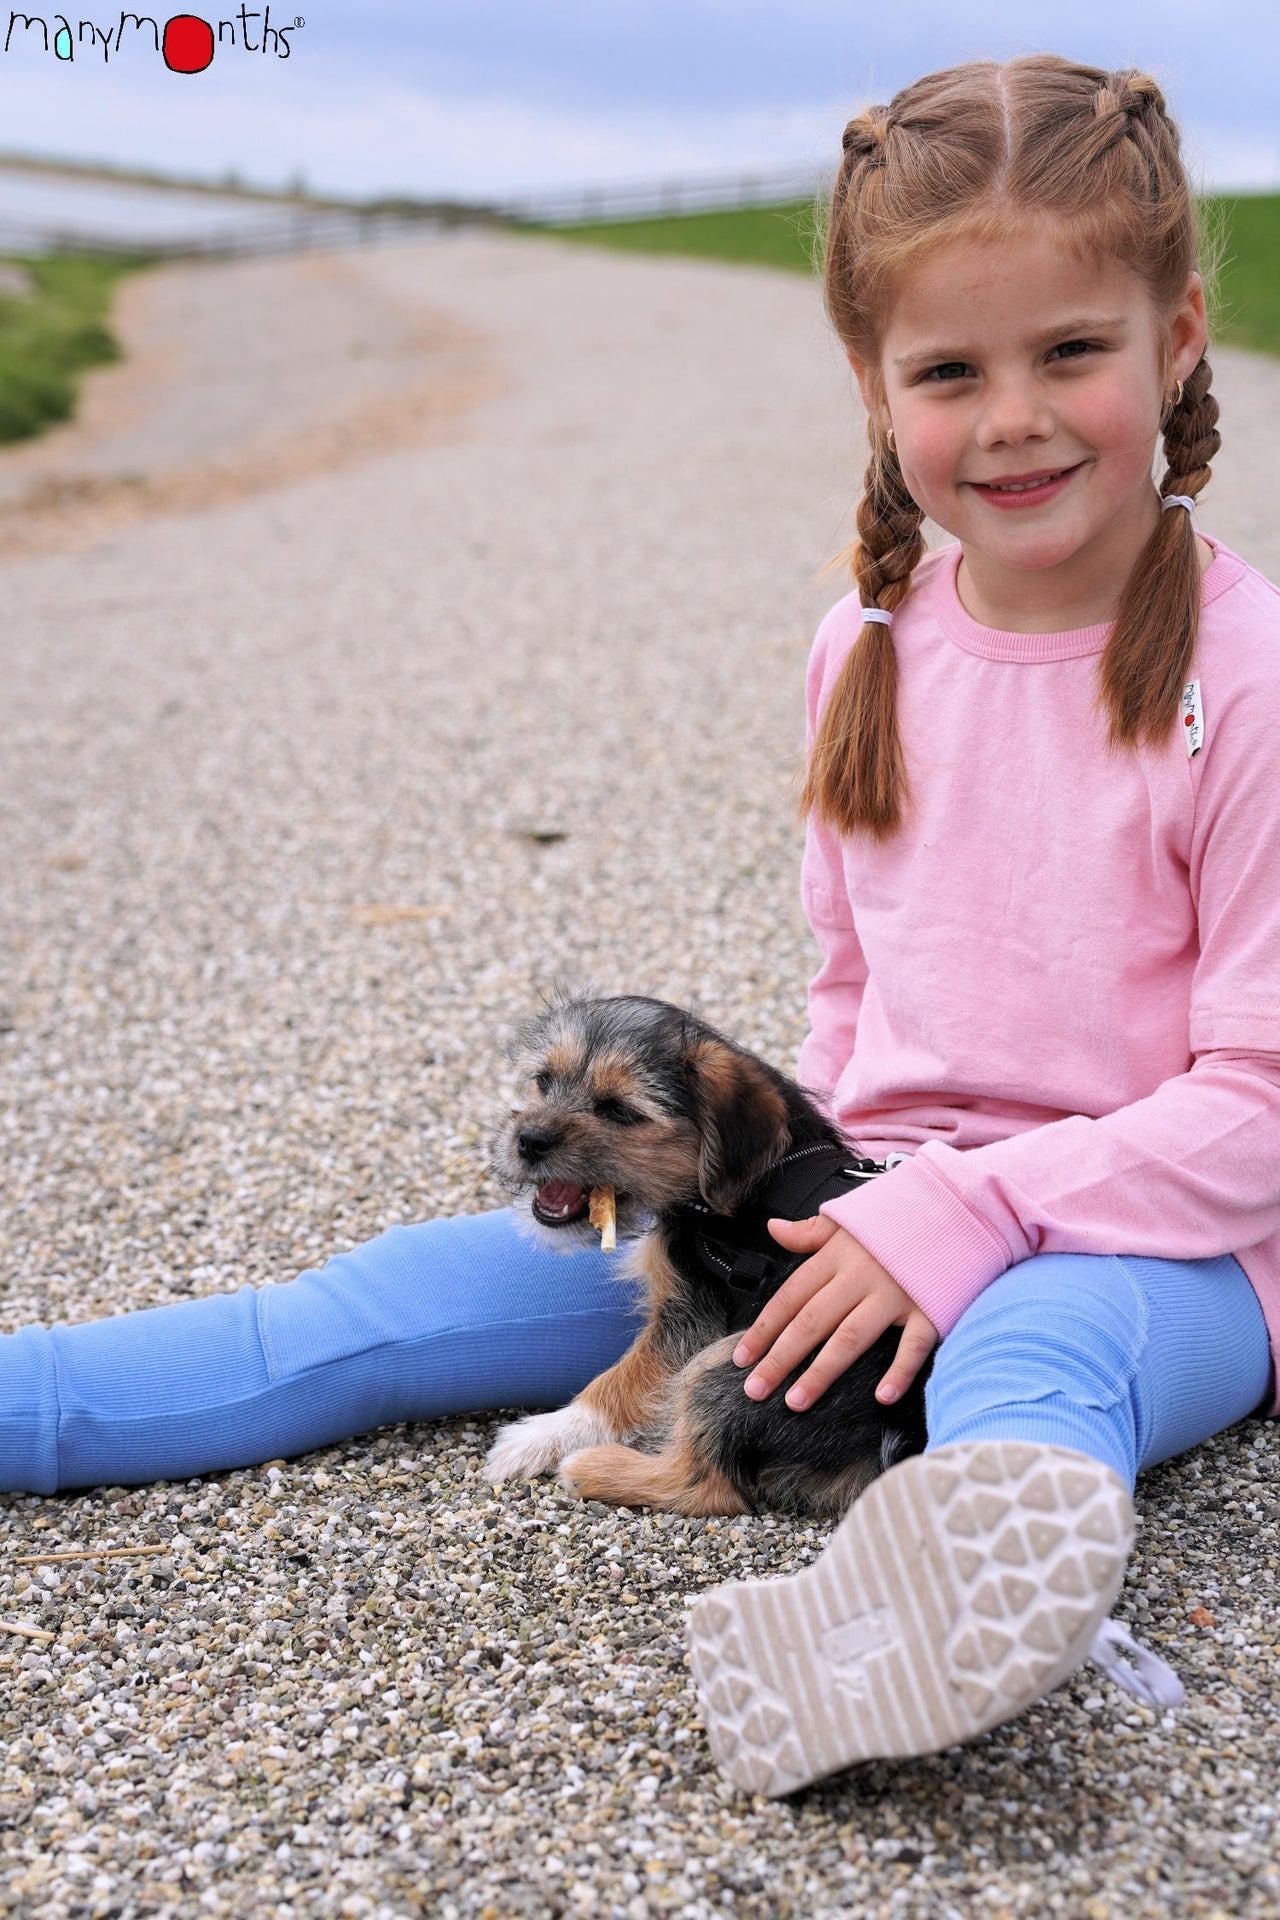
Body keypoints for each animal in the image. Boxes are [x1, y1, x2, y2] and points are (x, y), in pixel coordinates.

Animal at [483, 998, 932, 1520]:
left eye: (619, 1111)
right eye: (544, 1081)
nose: (528, 1139)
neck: (760, 1178)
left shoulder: (690, 1319)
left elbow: (620, 1381)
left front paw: (539, 1436)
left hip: (745, 1360)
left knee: (710, 1485)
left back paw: (594, 1468)